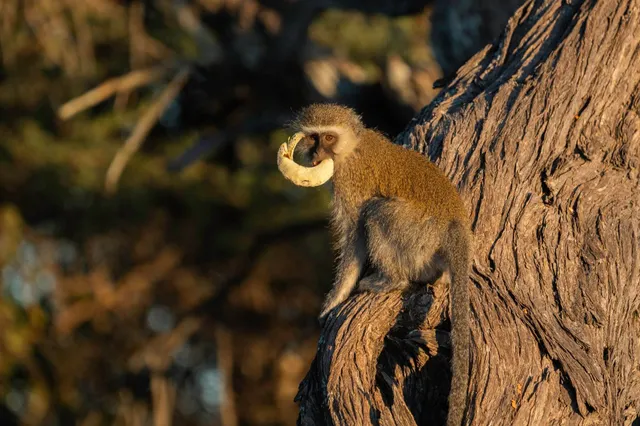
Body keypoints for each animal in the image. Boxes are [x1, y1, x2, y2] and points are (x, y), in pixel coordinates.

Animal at [277, 103, 472, 426]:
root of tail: (454, 224)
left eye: (328, 138)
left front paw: (334, 301)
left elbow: (355, 233)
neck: (351, 147)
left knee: (376, 211)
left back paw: (390, 280)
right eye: (313, 138)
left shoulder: (349, 179)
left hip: (419, 234)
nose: (316, 155)